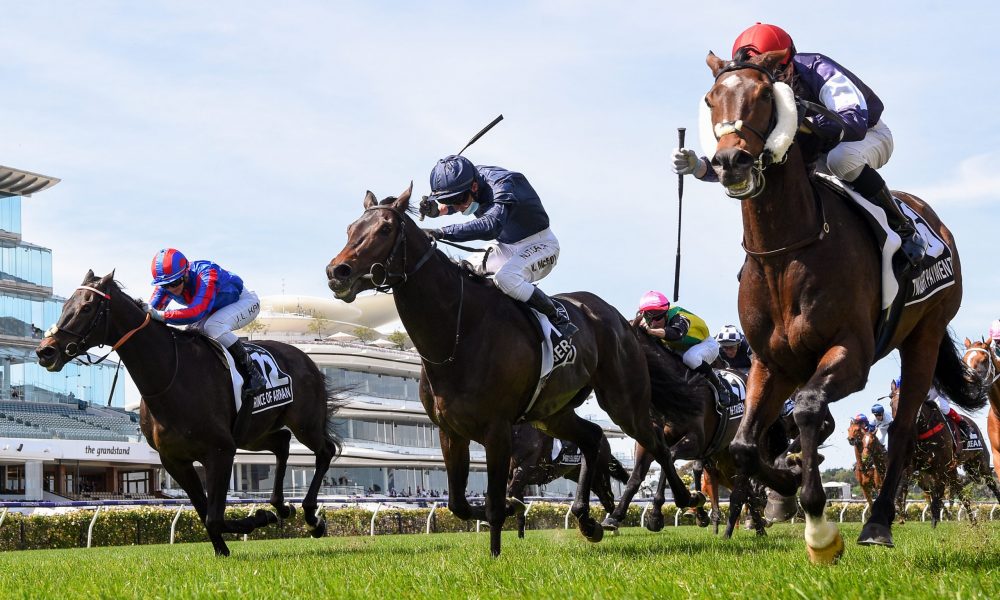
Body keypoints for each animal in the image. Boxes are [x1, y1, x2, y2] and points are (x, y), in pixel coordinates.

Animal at [35, 271, 342, 556]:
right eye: (66, 305)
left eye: (86, 307)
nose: (45, 351)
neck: (171, 376)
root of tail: (306, 359)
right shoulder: (174, 460)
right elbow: (206, 514)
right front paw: (229, 544)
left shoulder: (220, 450)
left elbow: (214, 516)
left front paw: (258, 518)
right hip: (253, 434)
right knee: (281, 443)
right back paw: (281, 506)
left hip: (304, 424)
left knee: (324, 450)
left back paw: (312, 517)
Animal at [326, 186, 703, 556]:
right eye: (350, 229)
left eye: (385, 228)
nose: (337, 272)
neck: (458, 333)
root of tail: (620, 319)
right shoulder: (450, 431)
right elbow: (459, 503)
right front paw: (508, 513)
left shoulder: (498, 430)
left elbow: (495, 501)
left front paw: (496, 551)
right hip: (552, 413)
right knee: (593, 437)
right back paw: (587, 519)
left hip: (623, 400)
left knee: (655, 442)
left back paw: (683, 500)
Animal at [701, 50, 984, 562]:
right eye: (713, 98)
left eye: (763, 95)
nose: (730, 160)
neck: (785, 252)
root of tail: (935, 221)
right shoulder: (771, 363)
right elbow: (745, 445)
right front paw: (787, 481)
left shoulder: (851, 354)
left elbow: (810, 407)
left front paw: (819, 528)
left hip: (926, 334)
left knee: (904, 431)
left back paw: (878, 524)